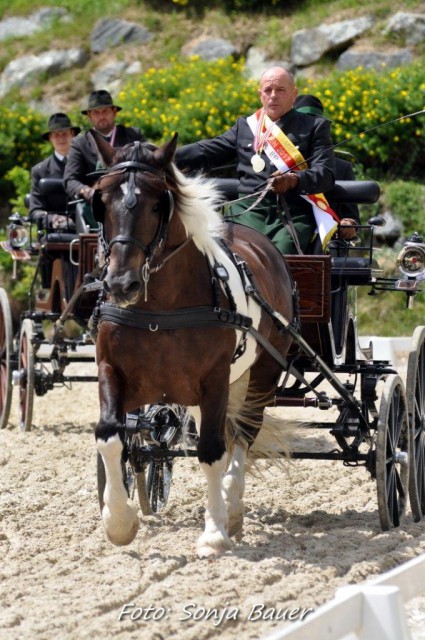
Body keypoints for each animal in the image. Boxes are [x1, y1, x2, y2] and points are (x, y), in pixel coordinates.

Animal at [91, 132, 294, 556]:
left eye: (158, 202)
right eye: (101, 201)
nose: (120, 284)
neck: (159, 308)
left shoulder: (214, 380)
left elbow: (212, 452)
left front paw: (214, 533)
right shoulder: (111, 371)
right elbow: (111, 436)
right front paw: (119, 522)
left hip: (262, 373)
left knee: (242, 435)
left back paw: (232, 508)